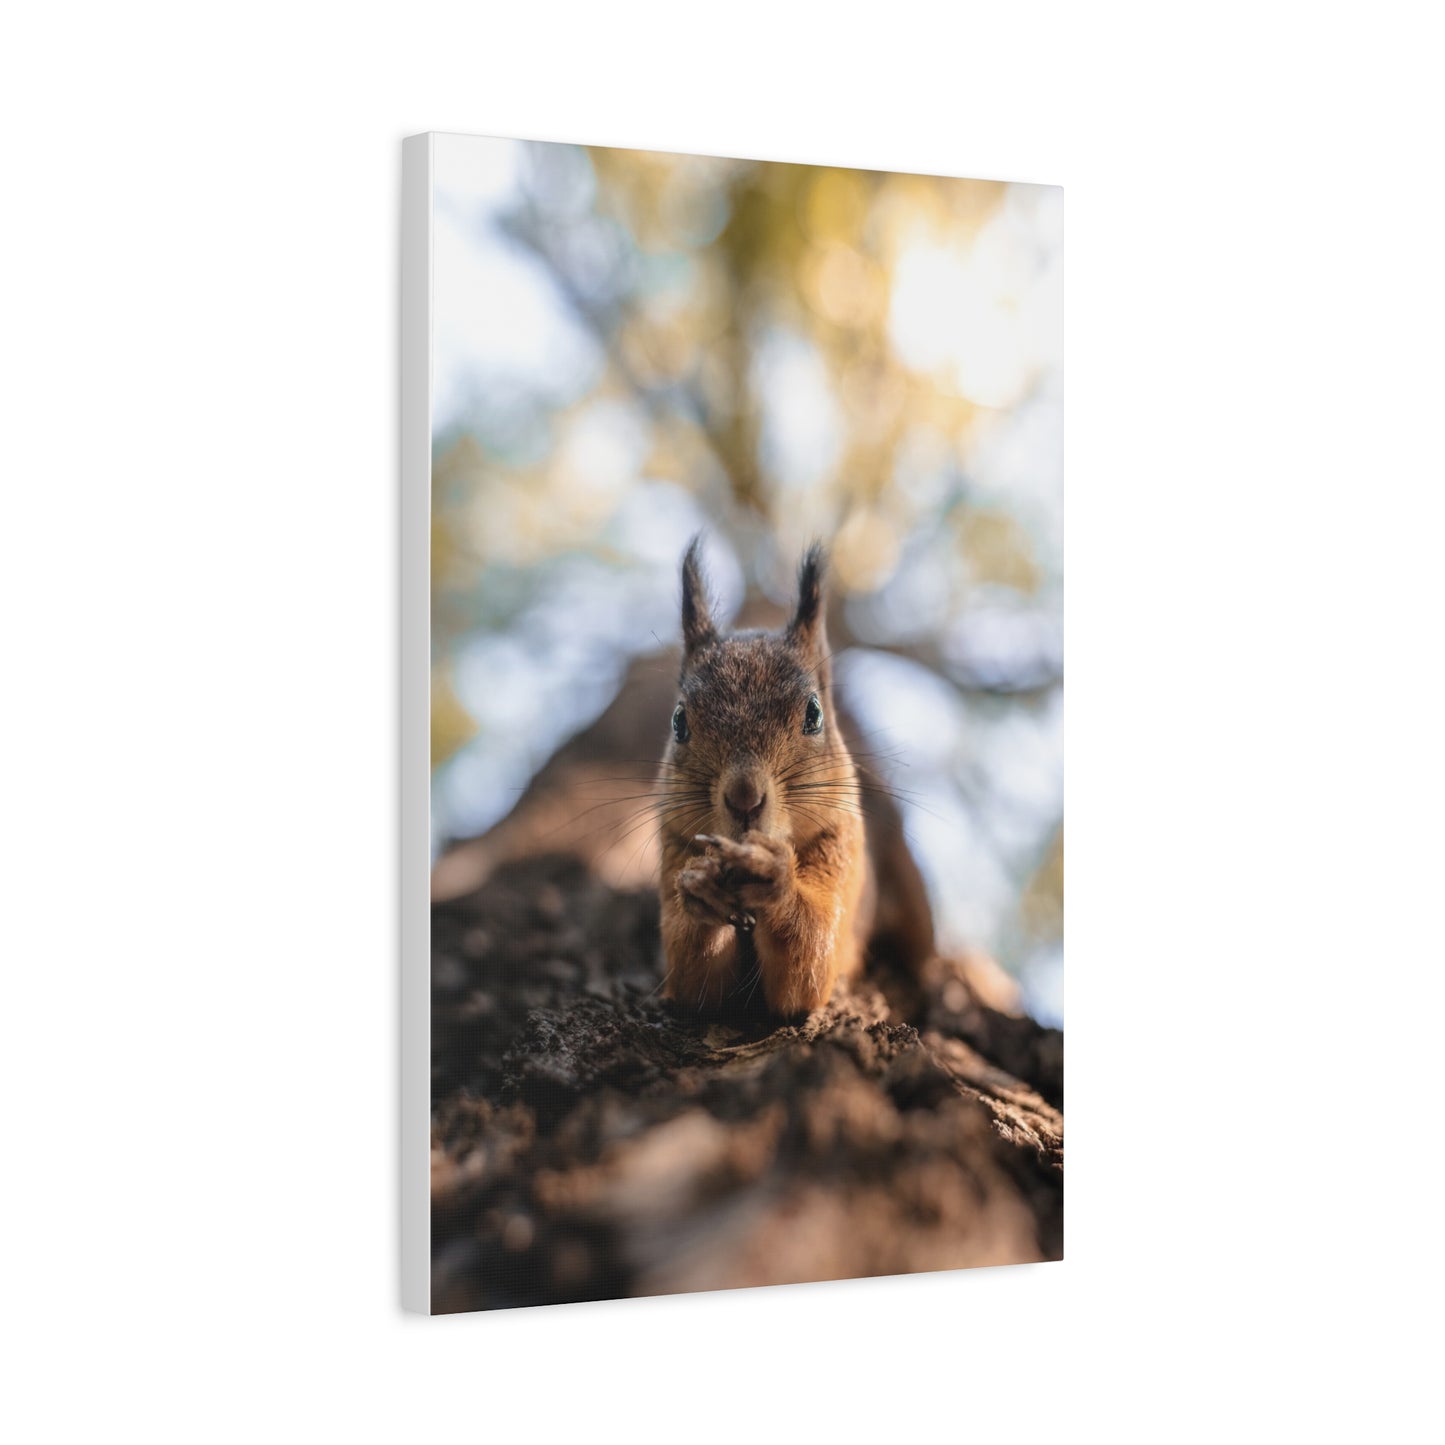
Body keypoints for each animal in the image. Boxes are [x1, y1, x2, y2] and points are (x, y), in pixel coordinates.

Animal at [659, 538, 919, 1019]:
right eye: (679, 721)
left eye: (813, 714)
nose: (744, 797)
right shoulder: (672, 846)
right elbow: (694, 979)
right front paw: (701, 887)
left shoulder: (842, 848)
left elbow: (808, 963)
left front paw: (773, 876)